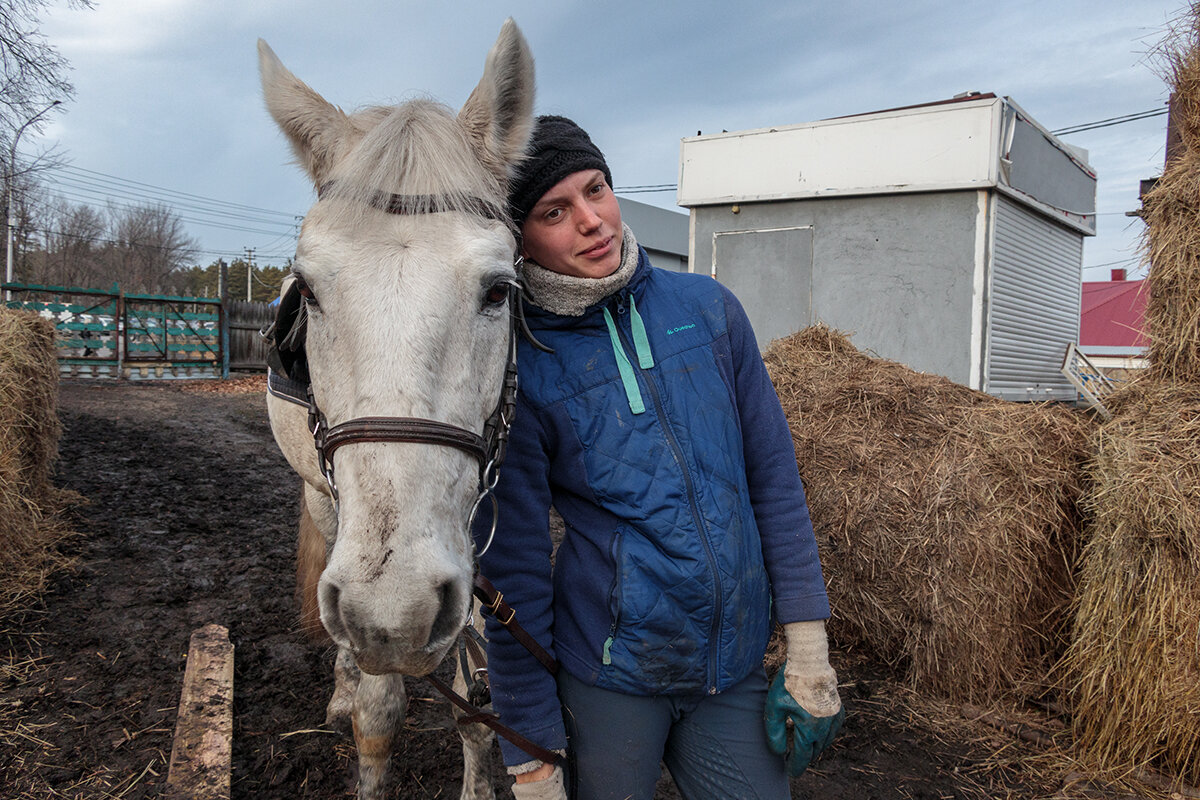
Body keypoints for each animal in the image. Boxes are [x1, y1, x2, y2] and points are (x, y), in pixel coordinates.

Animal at [261, 21, 535, 796]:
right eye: (309, 291)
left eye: (498, 290)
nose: (394, 615)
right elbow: (379, 714)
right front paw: (362, 701)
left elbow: (478, 704)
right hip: (322, 500)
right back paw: (342, 685)